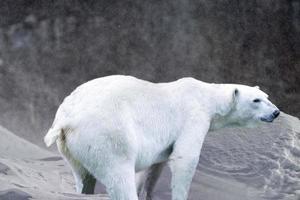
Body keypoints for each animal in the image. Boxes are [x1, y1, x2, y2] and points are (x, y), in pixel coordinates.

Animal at [43, 75, 280, 200]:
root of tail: (67, 118)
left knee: (84, 176)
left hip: (73, 146)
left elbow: (154, 167)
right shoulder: (193, 116)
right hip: (107, 136)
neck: (207, 97)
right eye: (256, 100)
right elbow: (185, 159)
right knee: (119, 174)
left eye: (267, 96)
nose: (276, 112)